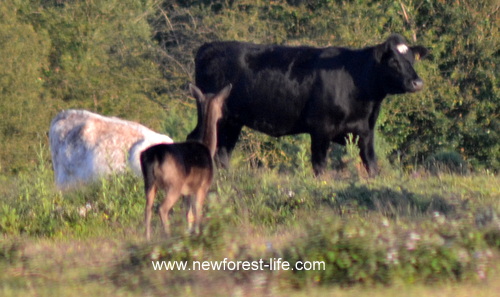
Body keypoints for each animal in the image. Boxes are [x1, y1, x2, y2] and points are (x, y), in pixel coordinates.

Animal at [189, 34, 428, 176]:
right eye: (394, 61)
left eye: (411, 60)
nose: (417, 82)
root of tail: (208, 47)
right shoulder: (321, 129)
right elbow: (320, 166)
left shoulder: (365, 131)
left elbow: (371, 164)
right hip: (212, 114)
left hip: (232, 121)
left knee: (223, 151)